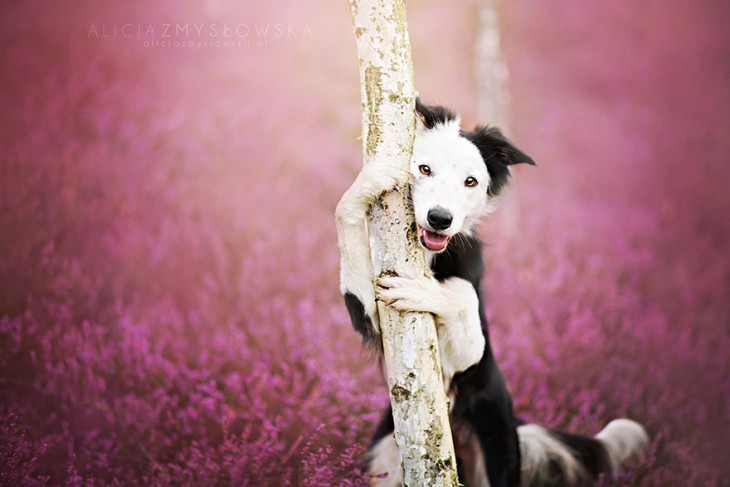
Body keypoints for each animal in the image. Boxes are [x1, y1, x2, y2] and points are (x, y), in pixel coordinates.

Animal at [336, 99, 648, 487]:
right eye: (424, 169)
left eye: (470, 181)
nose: (440, 218)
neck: (428, 253)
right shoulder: (372, 315)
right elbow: (345, 220)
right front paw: (368, 183)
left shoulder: (467, 353)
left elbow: (462, 300)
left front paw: (423, 289)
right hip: (387, 456)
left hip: (495, 440)